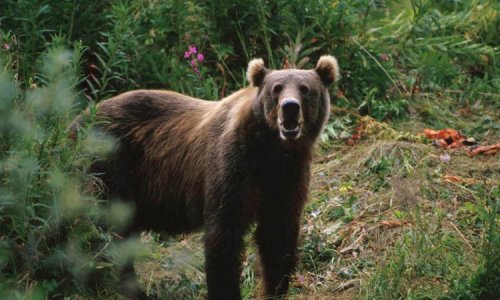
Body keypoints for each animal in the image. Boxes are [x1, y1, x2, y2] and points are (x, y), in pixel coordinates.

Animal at [74, 55, 340, 298]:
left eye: (305, 89)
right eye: (277, 88)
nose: (290, 108)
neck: (270, 150)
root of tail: (77, 120)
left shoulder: (287, 176)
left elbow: (278, 232)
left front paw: (274, 289)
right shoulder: (232, 166)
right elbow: (223, 234)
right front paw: (226, 290)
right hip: (109, 168)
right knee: (107, 233)